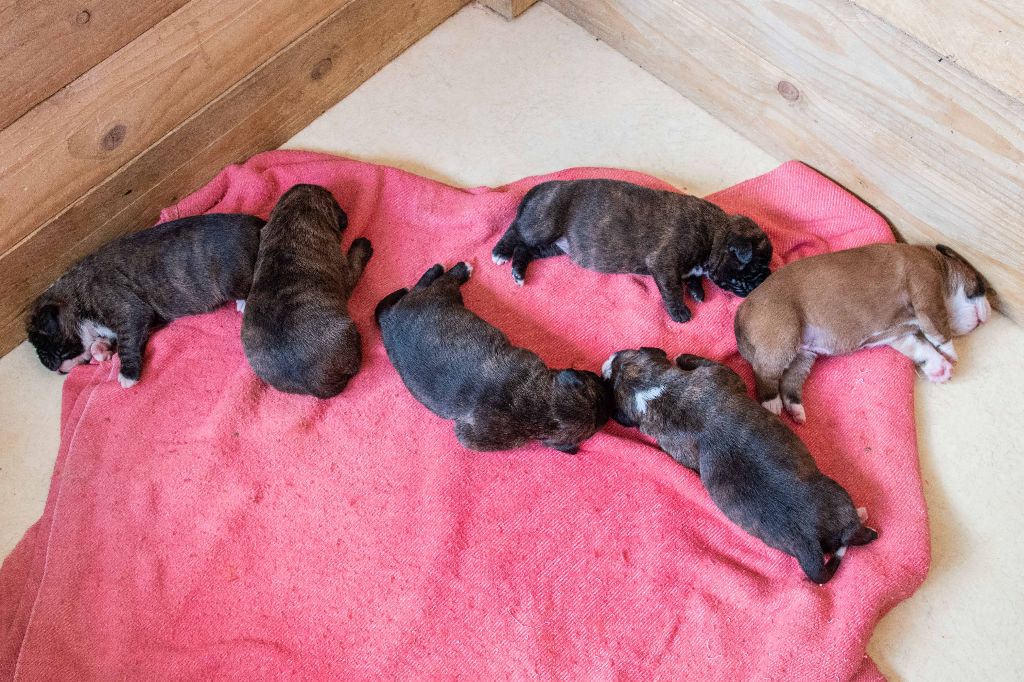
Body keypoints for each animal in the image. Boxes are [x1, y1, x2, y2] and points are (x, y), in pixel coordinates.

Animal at [487, 178, 770, 321]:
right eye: (755, 265)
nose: (766, 278)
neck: (715, 233)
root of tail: (543, 187)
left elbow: (691, 276)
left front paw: (697, 290)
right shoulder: (664, 262)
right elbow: (672, 288)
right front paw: (680, 311)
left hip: (554, 246)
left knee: (526, 249)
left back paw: (518, 272)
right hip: (544, 223)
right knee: (516, 231)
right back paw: (500, 252)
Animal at [602, 348, 876, 581]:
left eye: (619, 364)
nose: (607, 363)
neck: (653, 390)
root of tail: (806, 540)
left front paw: (680, 357)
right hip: (836, 495)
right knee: (855, 534)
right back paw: (863, 515)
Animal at [737, 238, 991, 419]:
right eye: (980, 284)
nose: (988, 315)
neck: (938, 263)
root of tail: (741, 310)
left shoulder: (901, 336)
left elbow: (922, 348)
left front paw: (938, 367)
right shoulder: (926, 287)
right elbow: (938, 330)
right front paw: (950, 352)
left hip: (802, 355)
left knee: (789, 380)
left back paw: (795, 408)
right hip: (783, 335)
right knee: (765, 373)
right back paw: (771, 404)